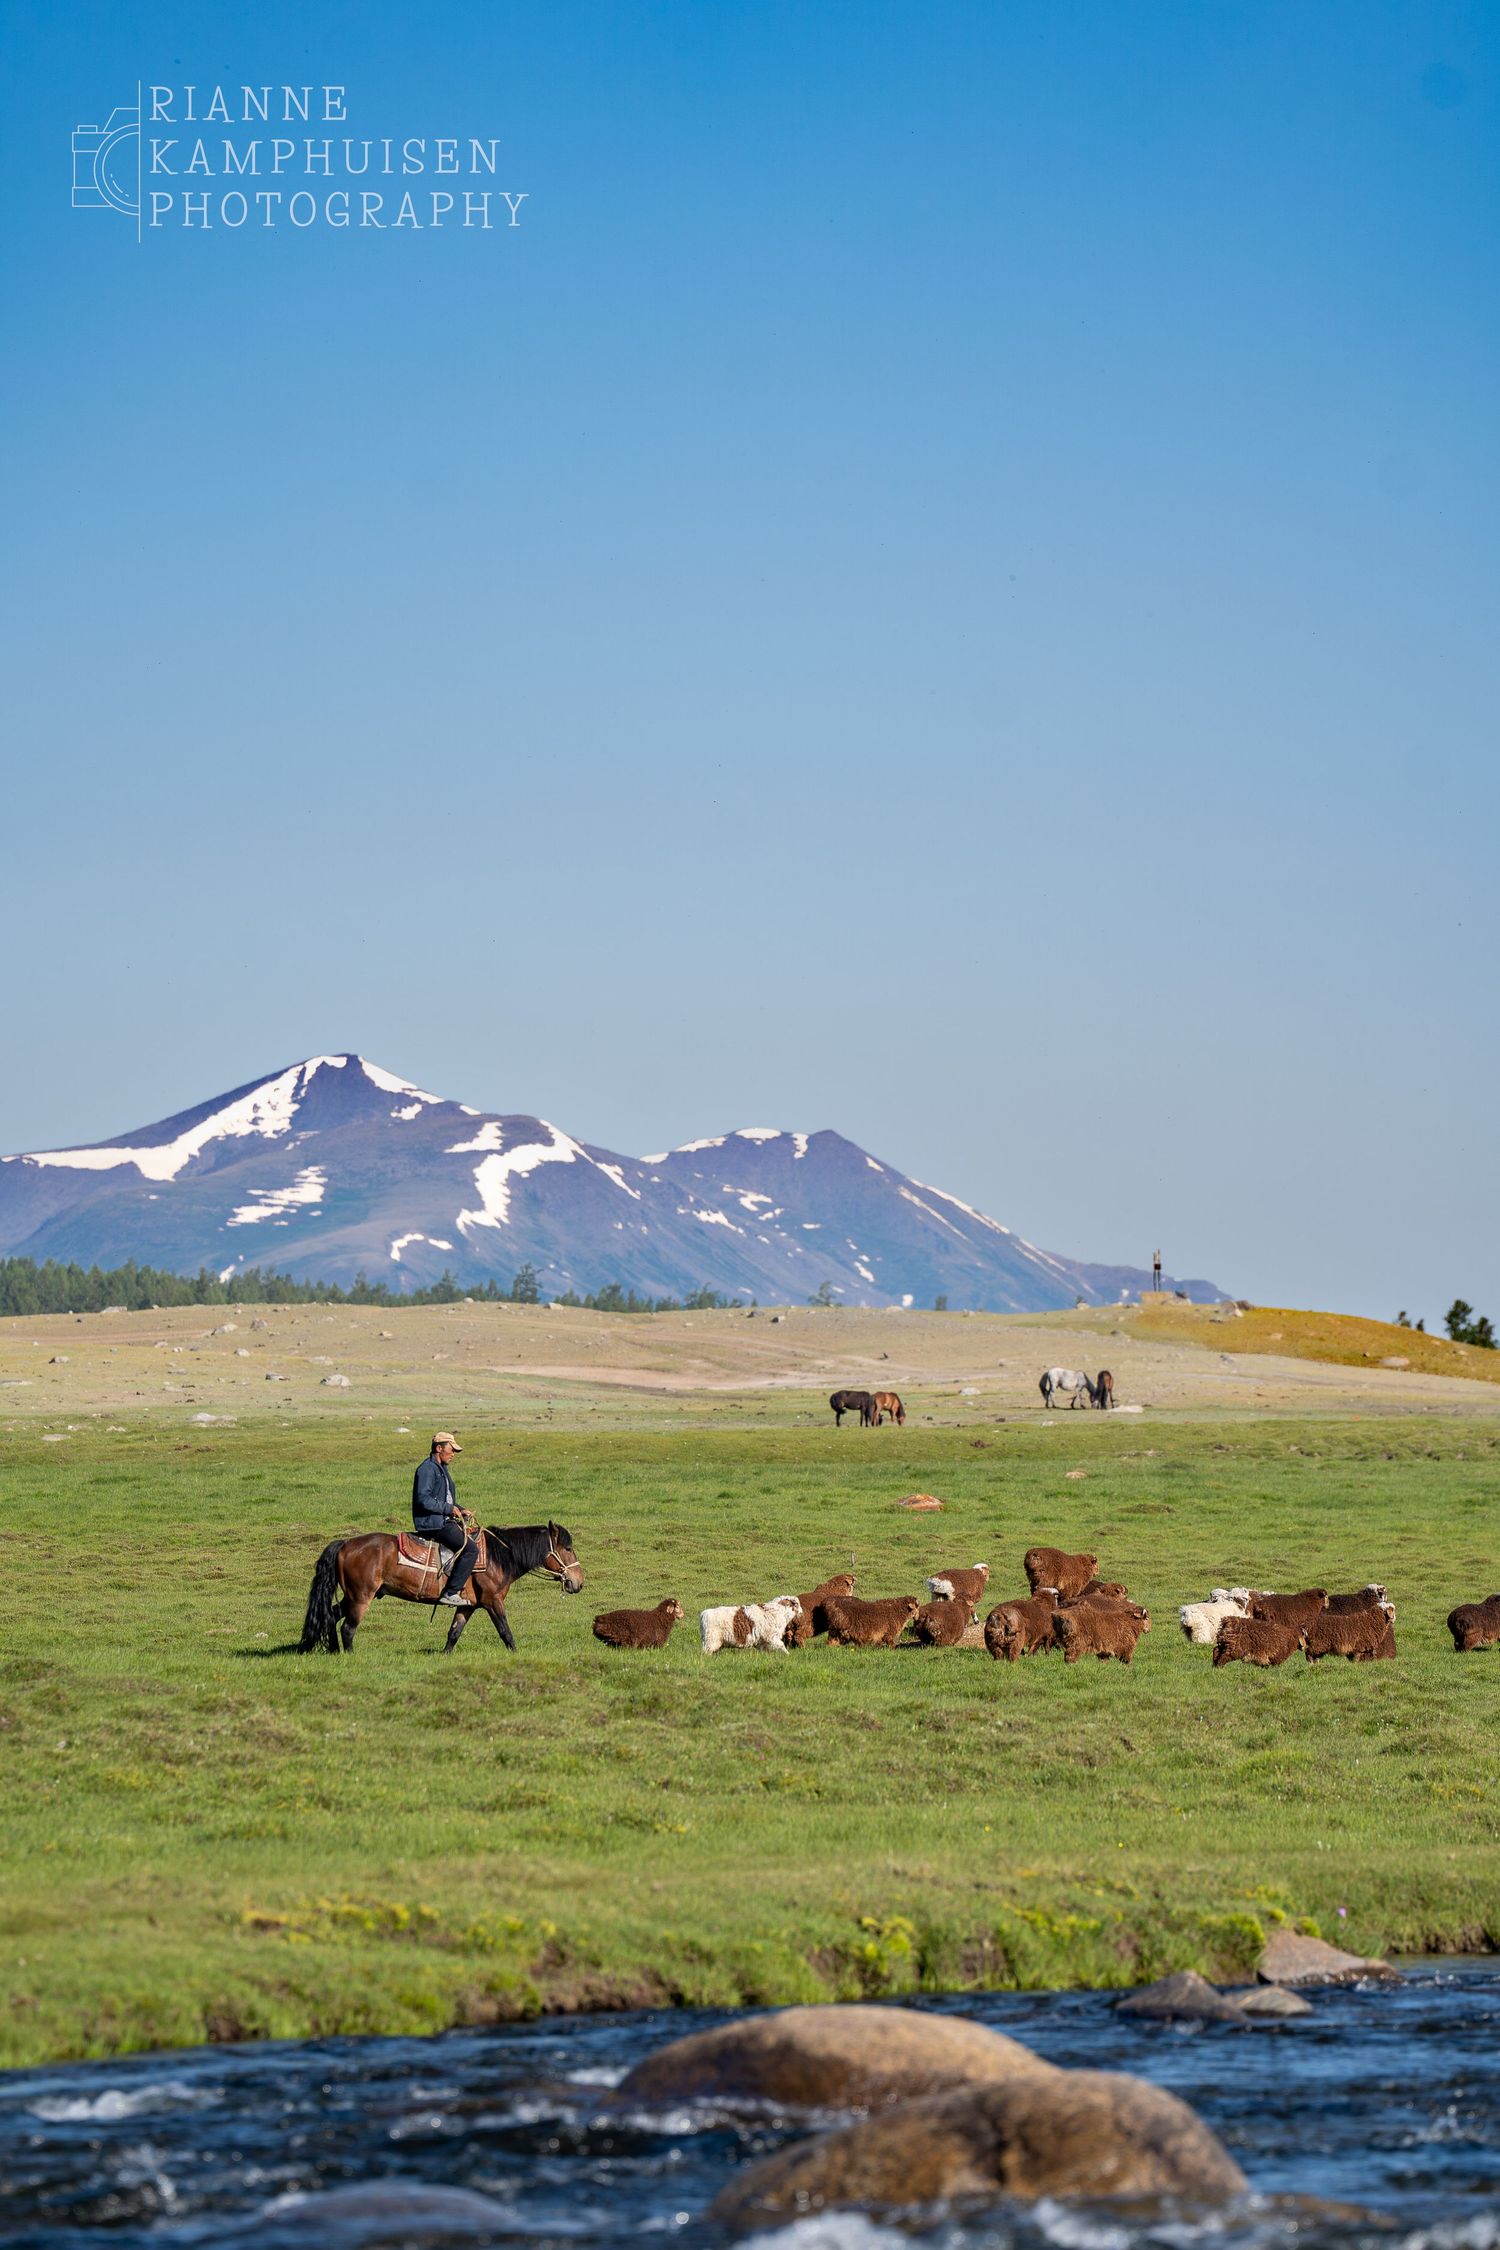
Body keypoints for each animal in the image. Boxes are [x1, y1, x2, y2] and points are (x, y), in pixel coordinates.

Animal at [298, 1520, 584, 1655]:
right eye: (568, 1548)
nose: (579, 1582)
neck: (498, 1556)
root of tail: (345, 1544)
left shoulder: (469, 1606)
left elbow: (454, 1633)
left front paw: (444, 1656)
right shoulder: (492, 1601)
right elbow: (505, 1631)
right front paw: (516, 1653)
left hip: (351, 1596)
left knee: (329, 1616)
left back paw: (331, 1650)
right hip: (361, 1597)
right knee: (348, 1628)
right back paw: (348, 1654)